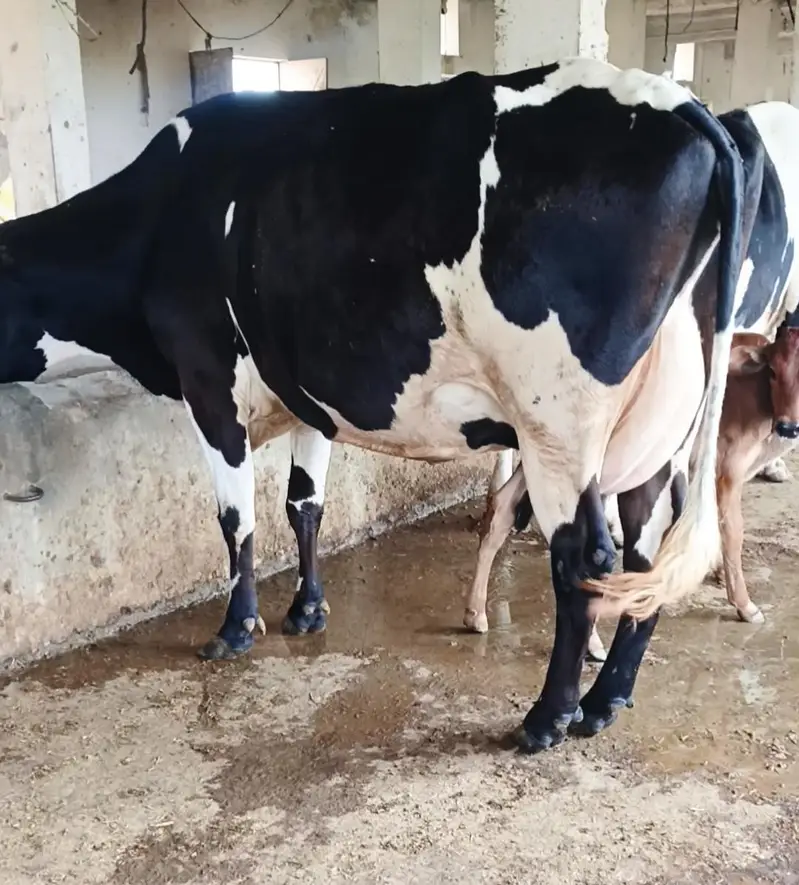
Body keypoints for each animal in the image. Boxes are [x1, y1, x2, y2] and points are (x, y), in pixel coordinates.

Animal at [0, 58, 749, 753]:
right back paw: (604, 702)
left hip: (558, 421)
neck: (157, 216)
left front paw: (236, 627)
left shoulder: (209, 380)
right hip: (654, 435)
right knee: (645, 557)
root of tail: (676, 100)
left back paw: (547, 718)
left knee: (584, 557)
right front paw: (307, 611)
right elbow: (303, 505)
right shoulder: (308, 394)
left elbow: (236, 519)